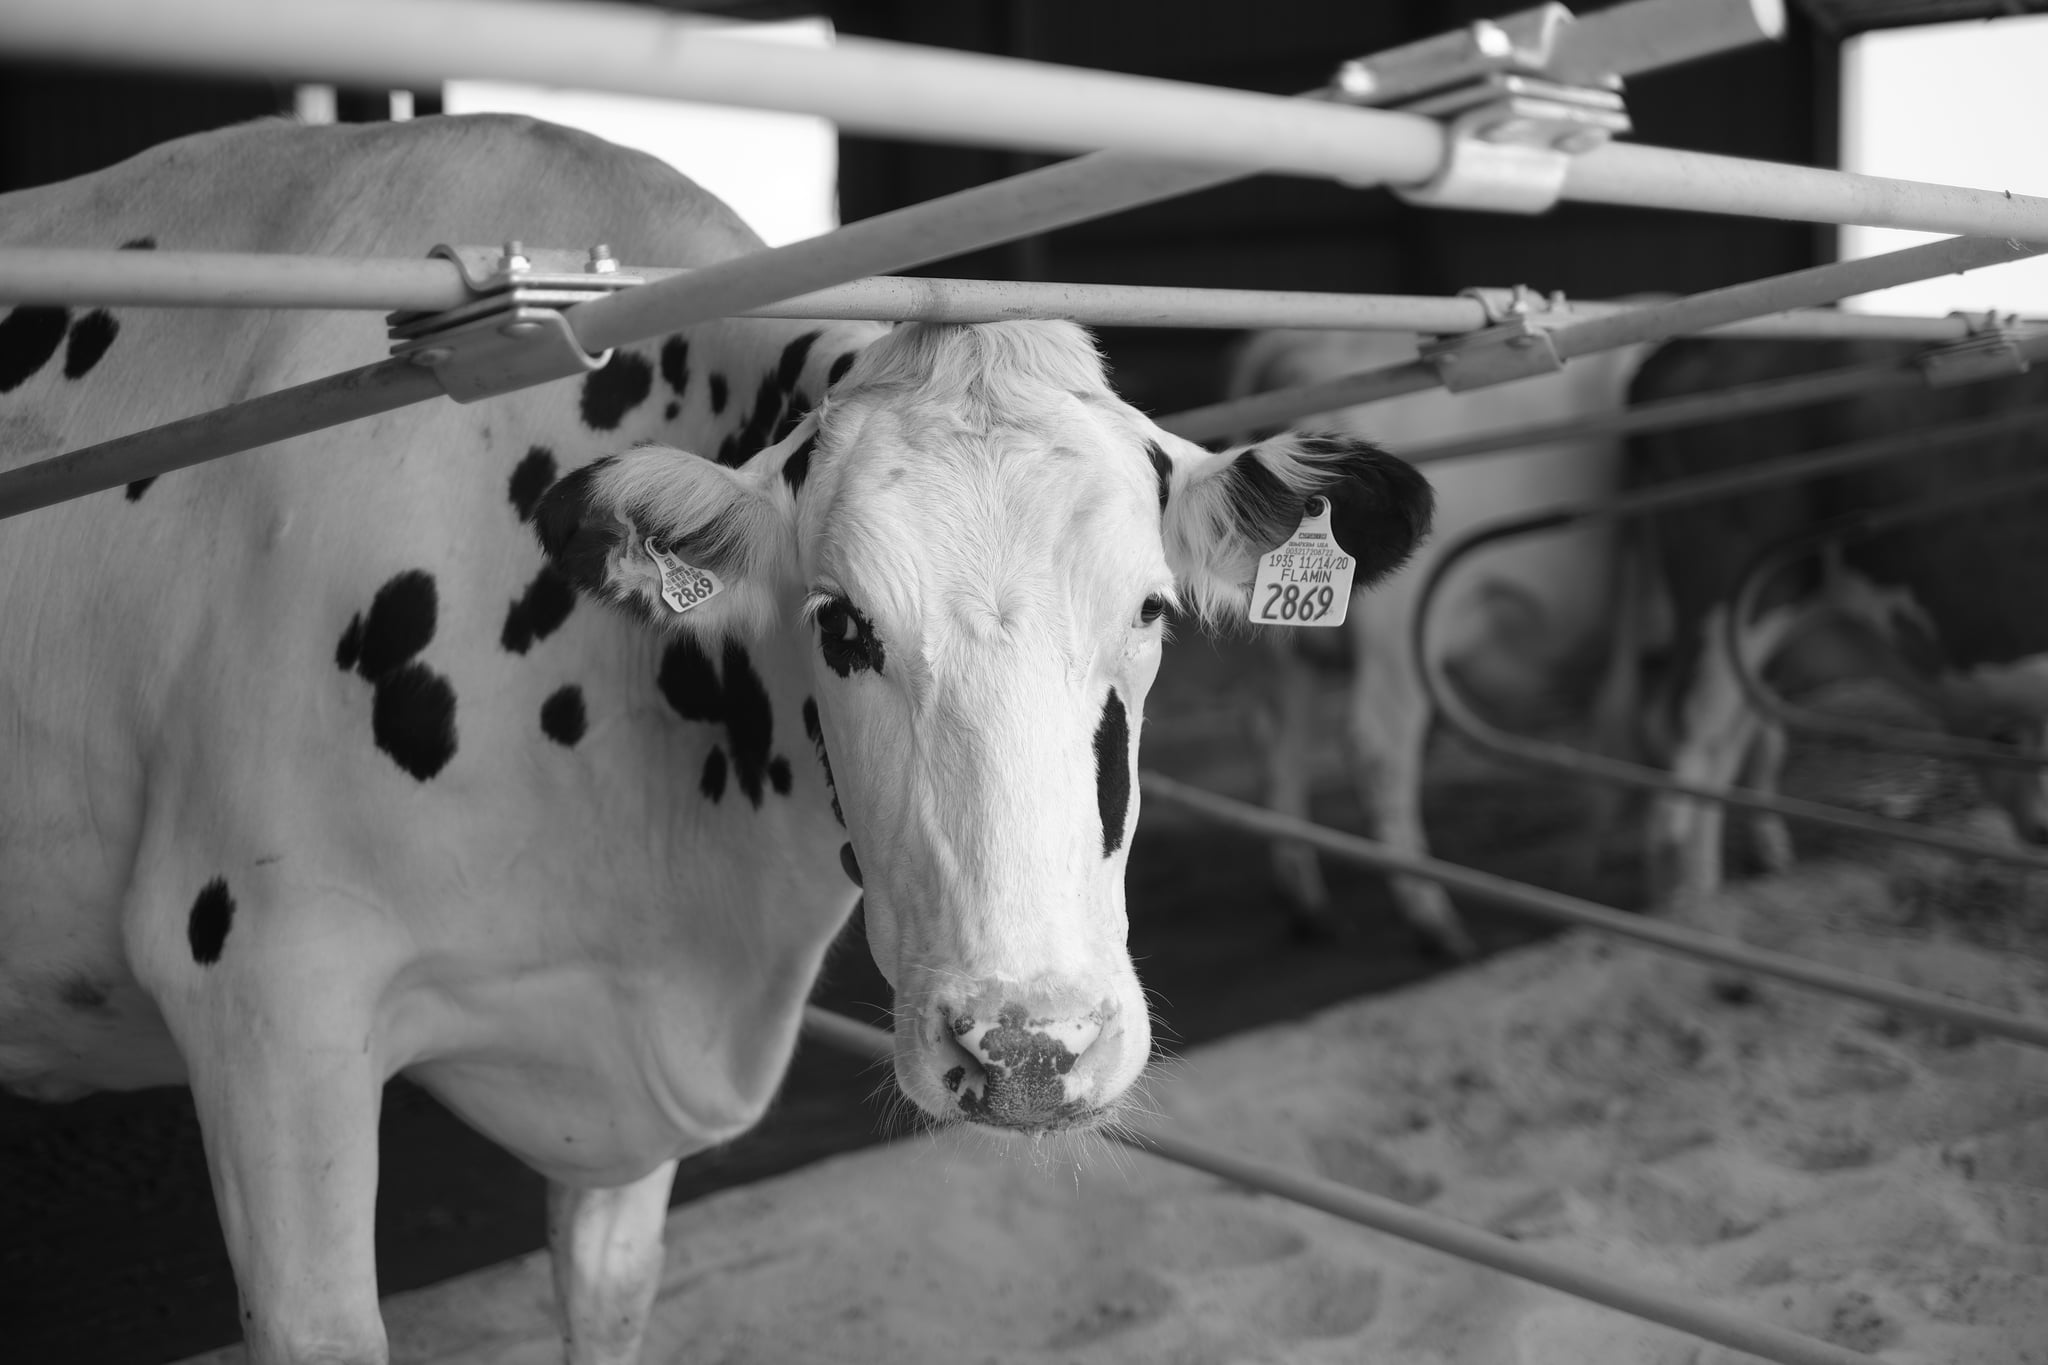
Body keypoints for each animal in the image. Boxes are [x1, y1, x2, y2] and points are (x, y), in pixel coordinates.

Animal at [1220, 331, 1638, 957]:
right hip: (1396, 635)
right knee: (1378, 746)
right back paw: (1434, 920)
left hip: (1285, 642)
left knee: (1273, 733)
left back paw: (1307, 905)